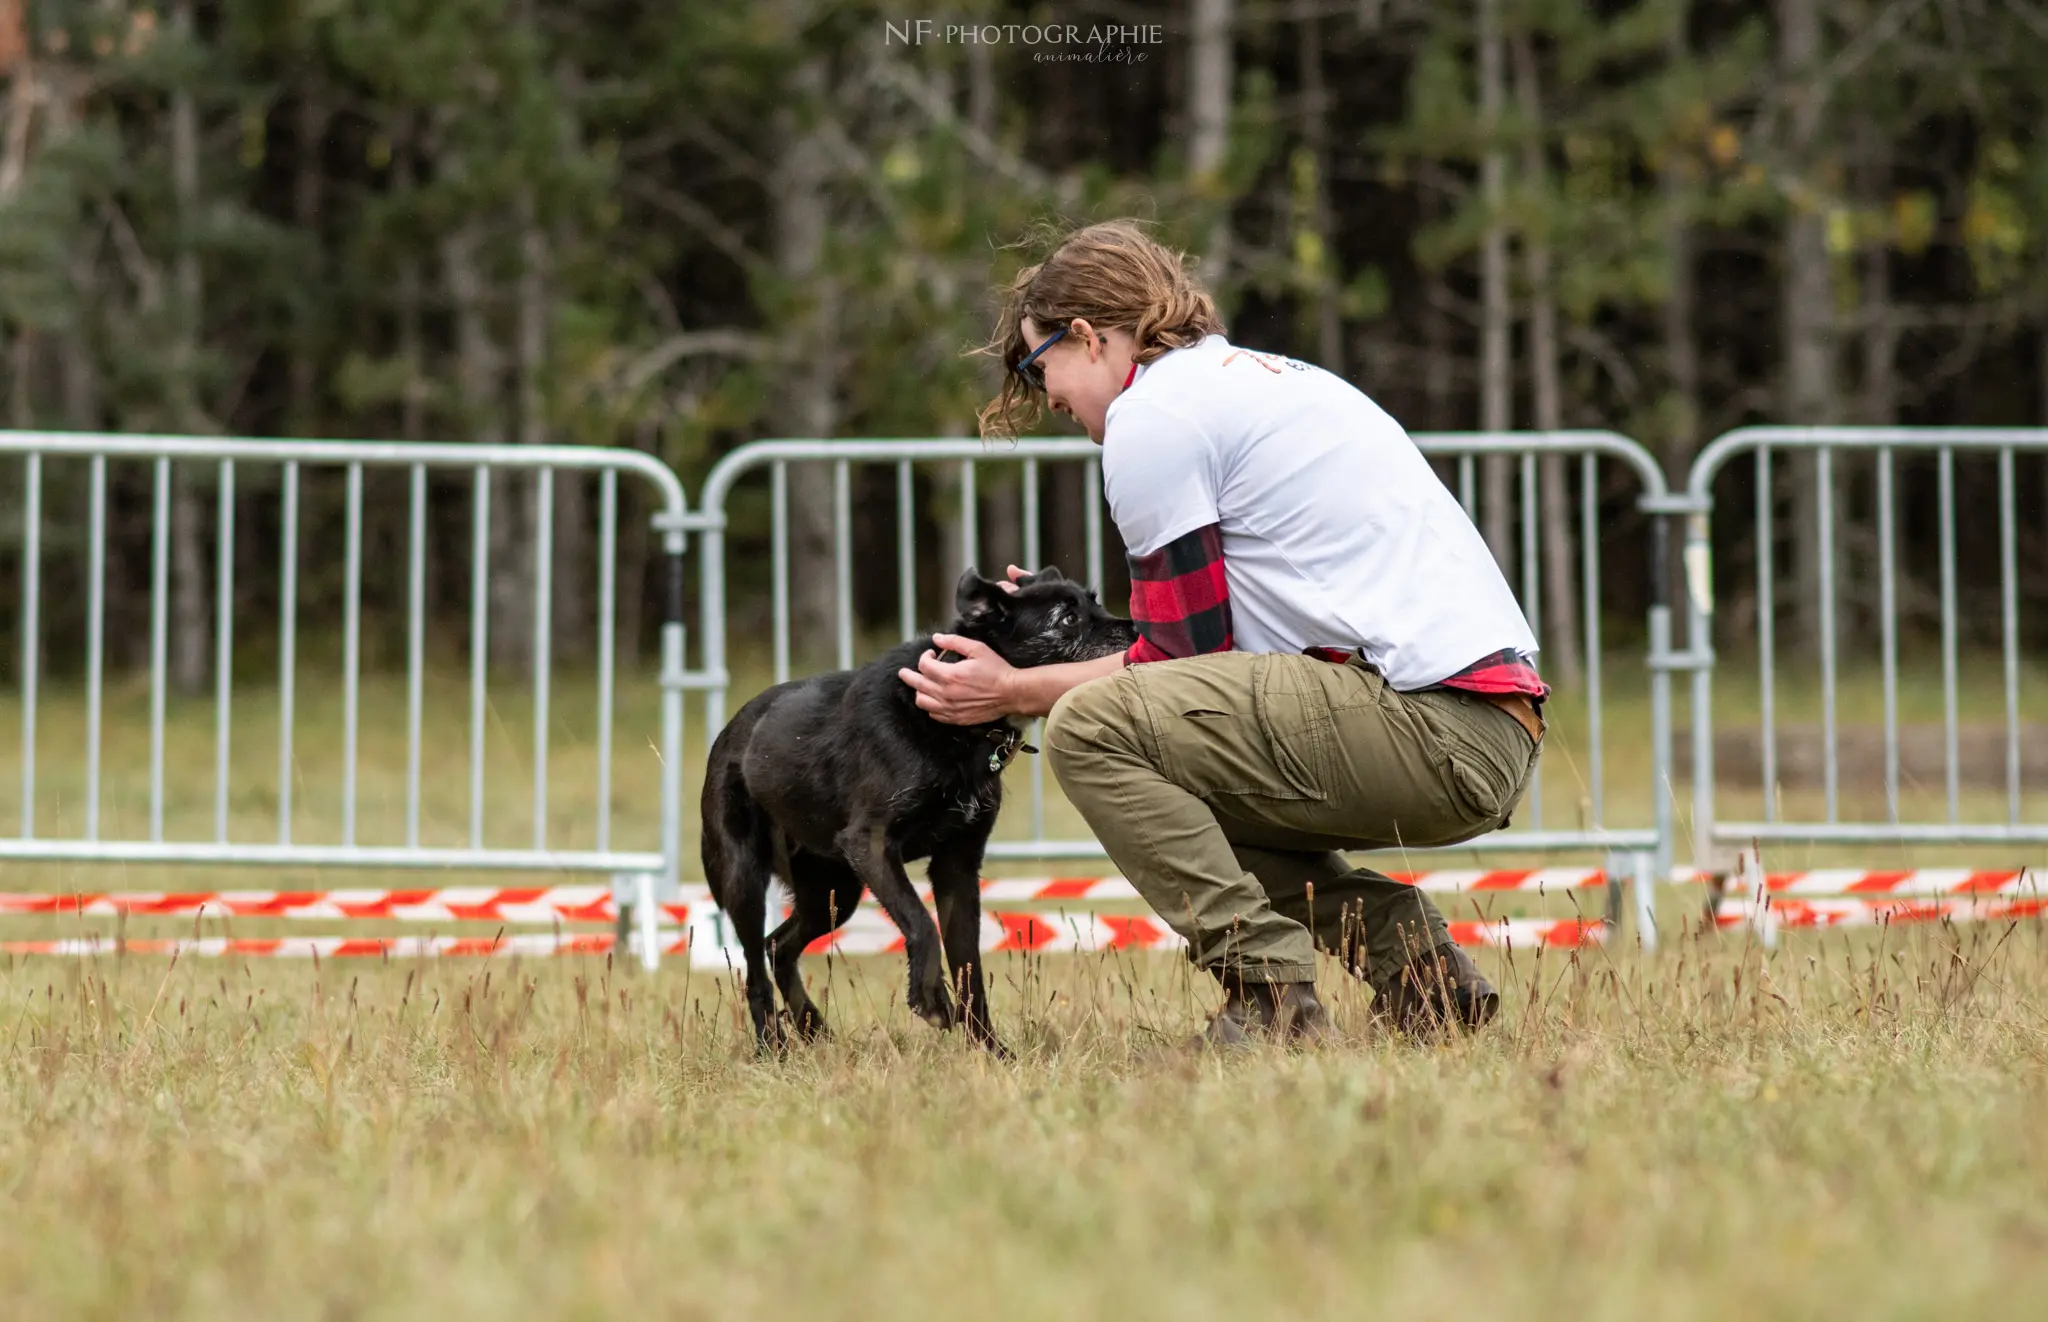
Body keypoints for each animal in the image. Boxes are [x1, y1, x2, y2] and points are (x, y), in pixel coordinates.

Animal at [696, 568, 1130, 1055]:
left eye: (1094, 602)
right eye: (1068, 618)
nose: (1136, 631)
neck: (951, 729)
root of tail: (729, 732)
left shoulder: (957, 867)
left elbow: (969, 967)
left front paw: (990, 1051)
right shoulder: (869, 845)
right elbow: (921, 924)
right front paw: (931, 998)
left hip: (833, 892)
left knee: (779, 947)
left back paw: (812, 1027)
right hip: (746, 881)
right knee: (755, 966)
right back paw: (774, 1047)